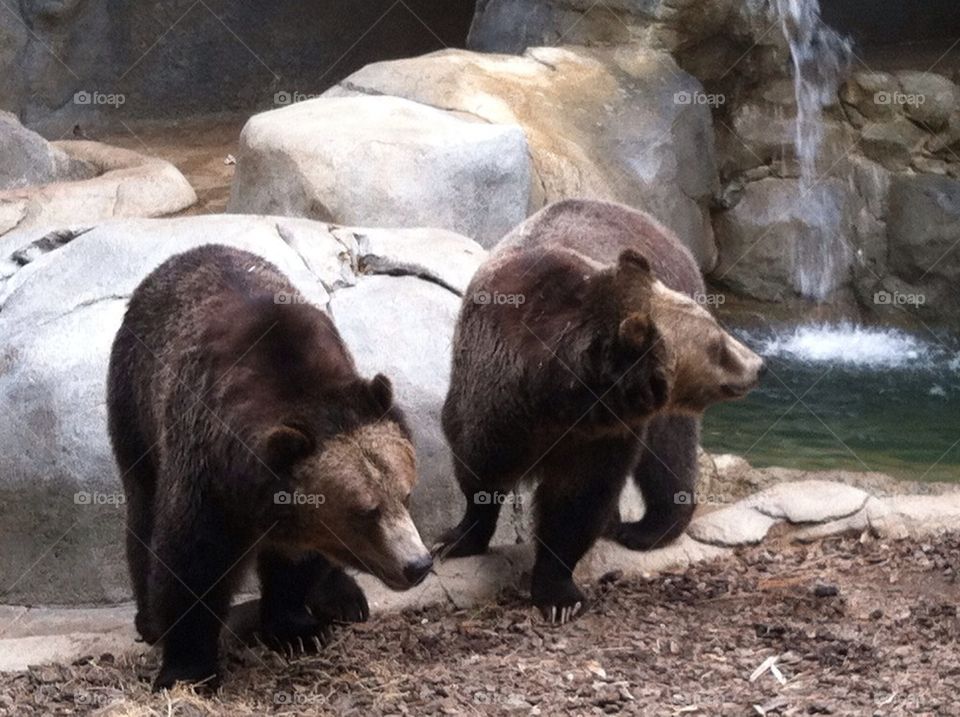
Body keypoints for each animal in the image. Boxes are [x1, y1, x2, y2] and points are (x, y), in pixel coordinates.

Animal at [106, 244, 433, 690]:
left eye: (406, 494)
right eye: (365, 510)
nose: (417, 564)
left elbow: (296, 561)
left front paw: (297, 628)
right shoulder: (208, 471)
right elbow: (191, 561)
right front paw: (186, 669)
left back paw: (344, 596)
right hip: (135, 404)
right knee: (142, 506)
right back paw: (149, 620)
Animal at [437, 199, 764, 623]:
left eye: (716, 331)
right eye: (717, 343)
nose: (758, 364)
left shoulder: (602, 435)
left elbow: (578, 501)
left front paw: (559, 595)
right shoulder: (492, 401)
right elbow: (478, 468)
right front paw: (455, 540)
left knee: (668, 450)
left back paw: (647, 528)